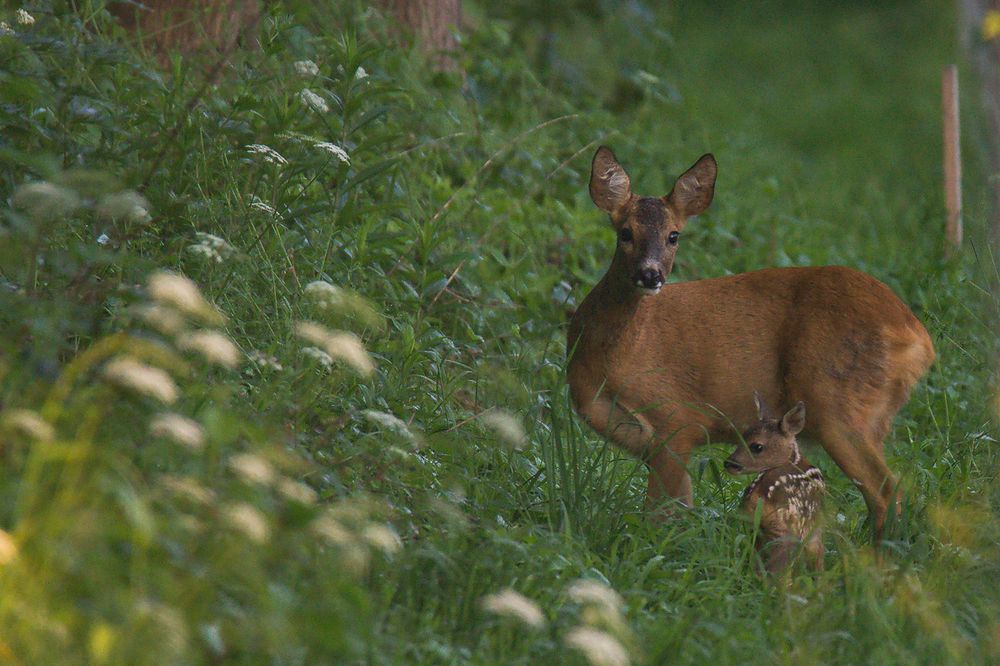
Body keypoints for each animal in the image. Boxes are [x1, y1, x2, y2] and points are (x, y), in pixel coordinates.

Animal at [568, 145, 932, 536]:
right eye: (625, 233)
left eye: (673, 235)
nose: (650, 275)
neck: (612, 362)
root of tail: (917, 336)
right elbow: (681, 507)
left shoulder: (676, 418)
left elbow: (663, 514)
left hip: (838, 402)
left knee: (887, 491)